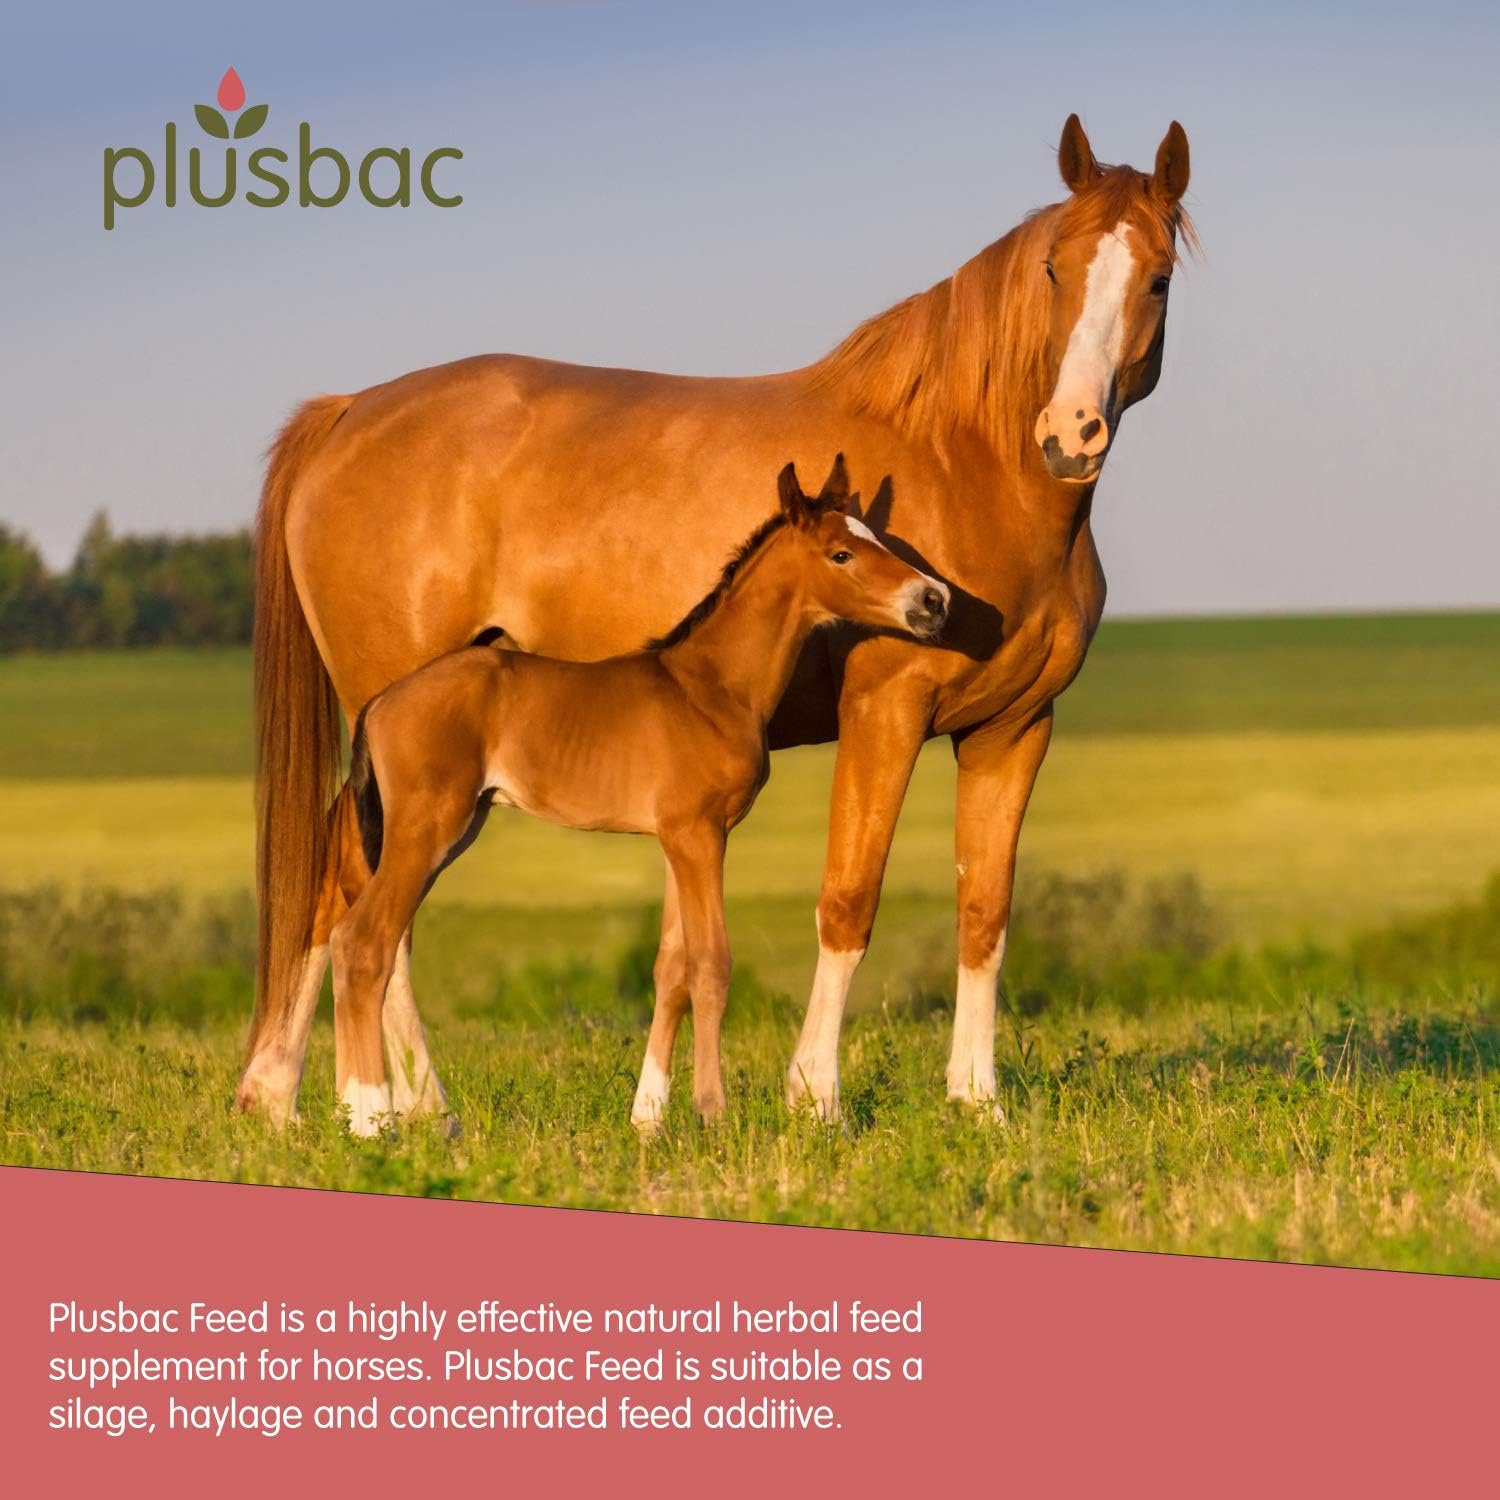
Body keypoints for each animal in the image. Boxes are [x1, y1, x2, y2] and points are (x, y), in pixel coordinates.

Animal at [326, 458, 948, 1134]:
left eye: (877, 538)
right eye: (841, 553)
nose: (933, 601)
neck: (711, 687)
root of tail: (381, 702)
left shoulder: (681, 838)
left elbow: (672, 967)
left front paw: (650, 1118)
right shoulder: (699, 835)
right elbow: (711, 965)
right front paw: (713, 1114)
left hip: (452, 832)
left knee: (364, 942)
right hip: (426, 830)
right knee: (363, 943)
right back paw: (369, 1120)